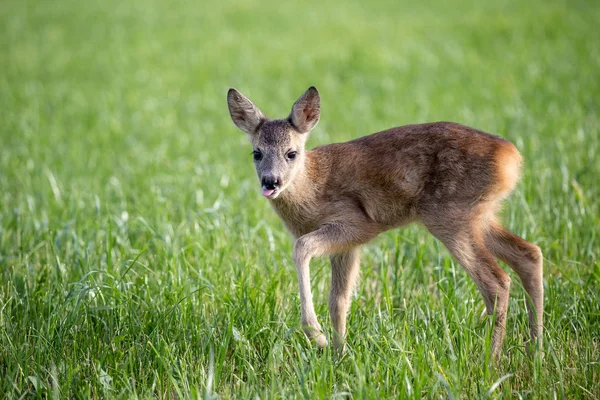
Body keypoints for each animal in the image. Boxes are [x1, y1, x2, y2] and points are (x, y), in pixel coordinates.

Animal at [226, 86, 544, 358]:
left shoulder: (356, 223)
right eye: (256, 153)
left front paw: (318, 337)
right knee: (529, 254)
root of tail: (511, 159)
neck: (312, 186)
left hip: (451, 215)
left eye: (292, 153)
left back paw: (491, 361)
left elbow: (302, 249)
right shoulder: (348, 246)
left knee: (497, 282)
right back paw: (535, 352)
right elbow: (339, 300)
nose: (271, 181)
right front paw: (339, 355)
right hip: (479, 215)